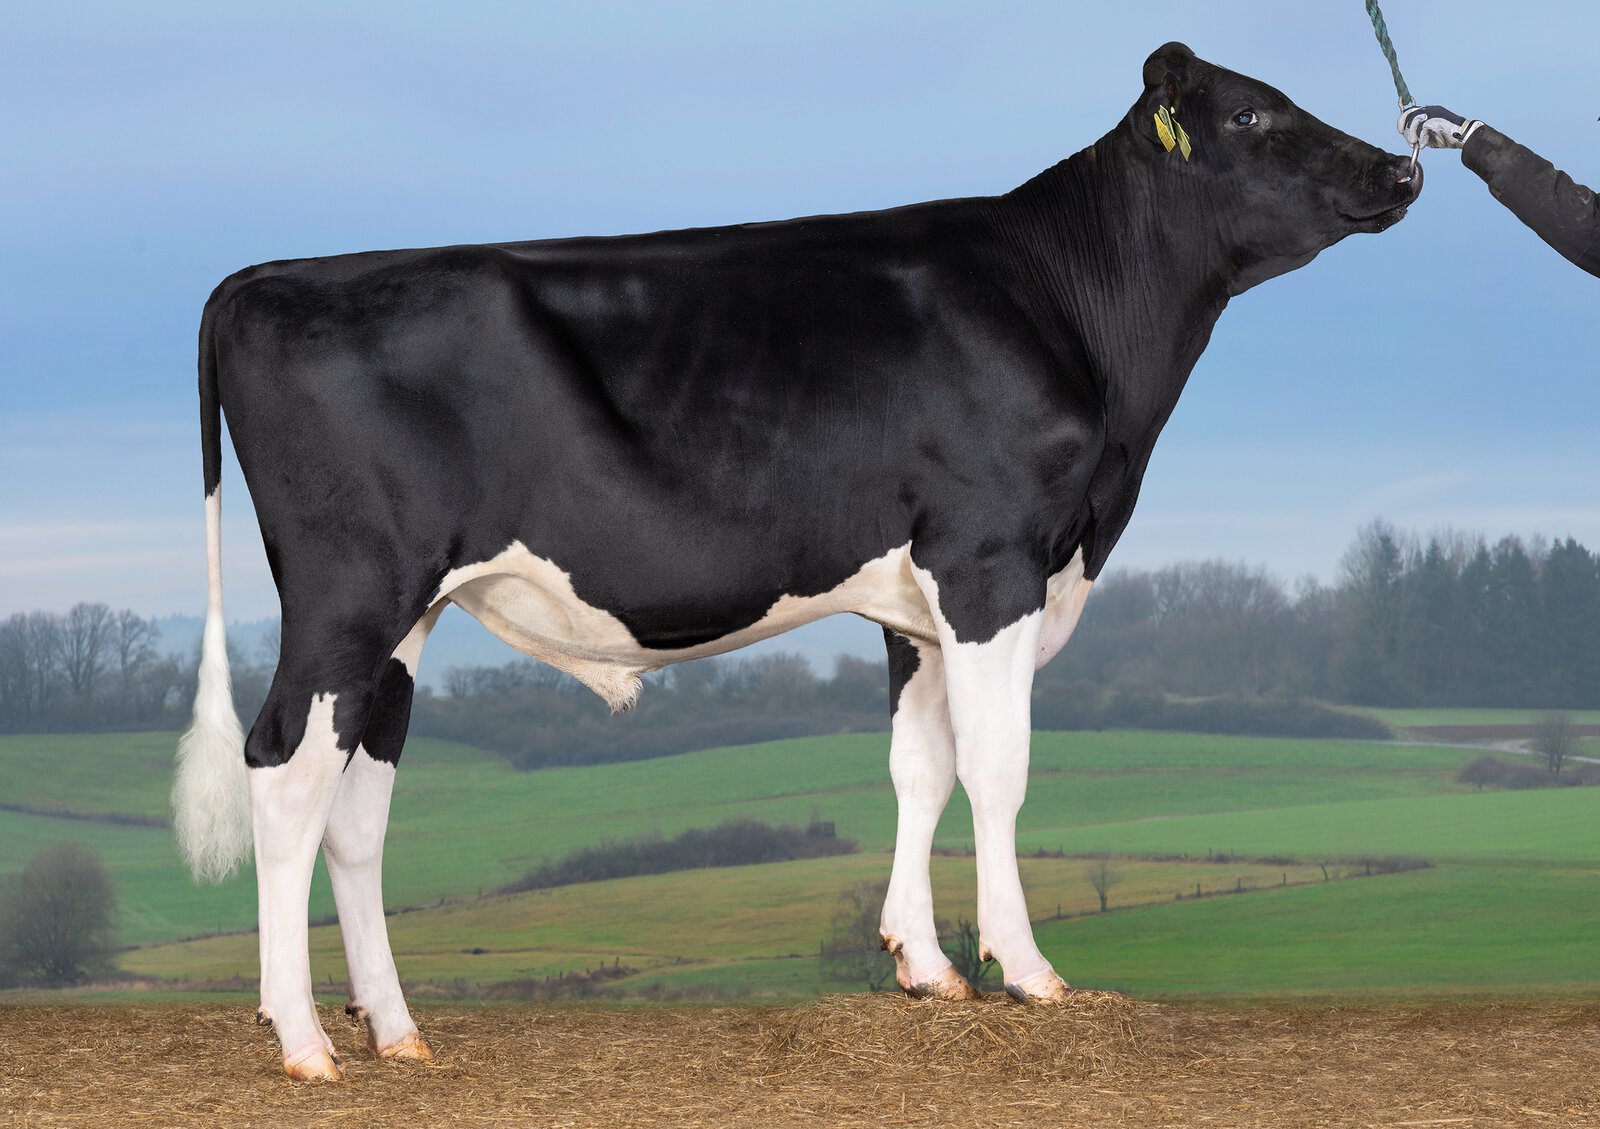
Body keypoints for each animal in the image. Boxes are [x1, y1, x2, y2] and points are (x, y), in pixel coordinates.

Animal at [173, 42, 1420, 1081]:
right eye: (1253, 114)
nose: (1403, 168)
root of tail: (268, 277)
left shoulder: (915, 601)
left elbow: (919, 767)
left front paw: (924, 965)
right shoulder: (990, 558)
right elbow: (998, 768)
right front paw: (1025, 971)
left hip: (407, 618)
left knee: (355, 806)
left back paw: (395, 1030)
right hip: (348, 595)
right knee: (281, 770)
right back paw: (302, 1041)